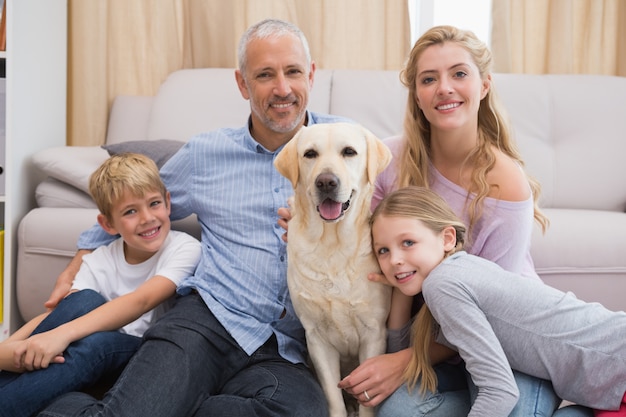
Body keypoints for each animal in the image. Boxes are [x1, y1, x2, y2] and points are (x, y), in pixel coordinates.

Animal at [272, 122, 390, 416]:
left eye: (349, 152)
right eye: (310, 154)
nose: (326, 182)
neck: (332, 245)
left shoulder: (374, 334)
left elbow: (367, 400)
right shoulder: (317, 338)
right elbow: (333, 396)